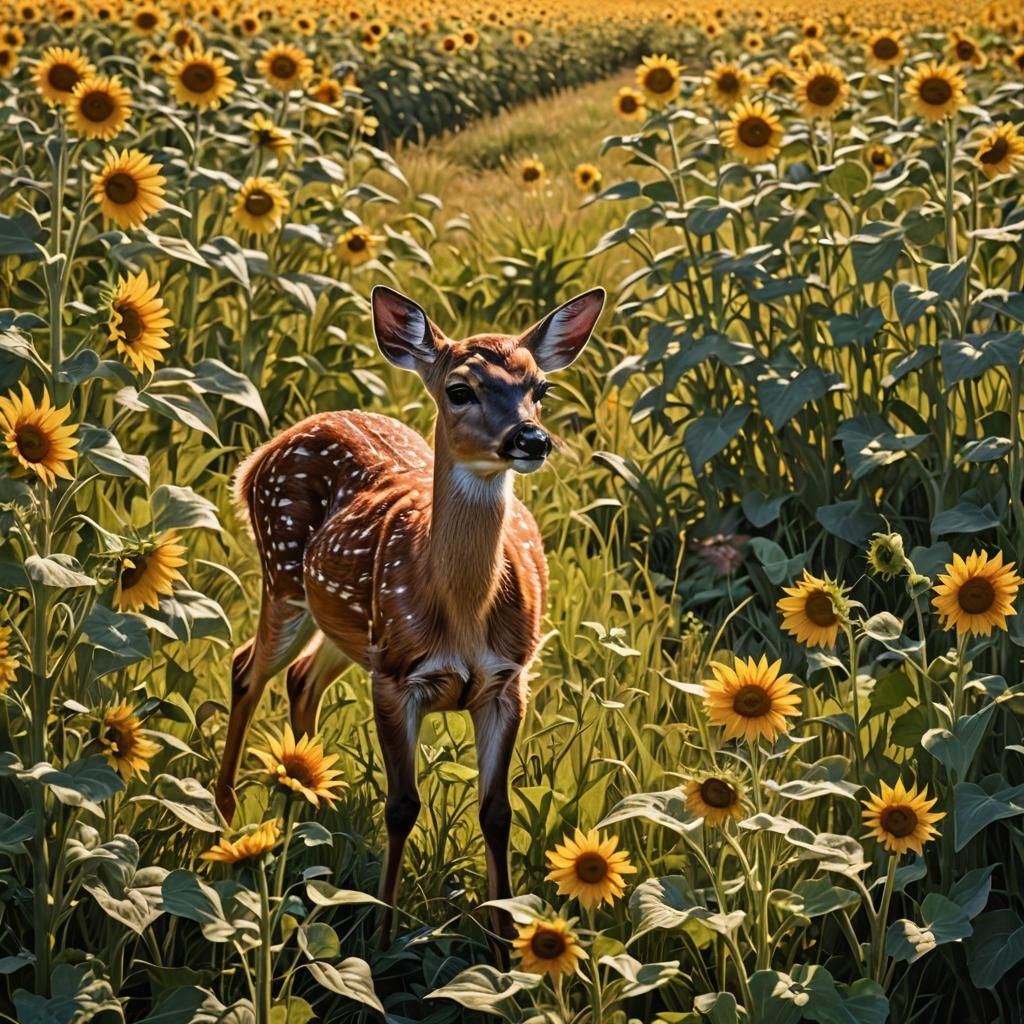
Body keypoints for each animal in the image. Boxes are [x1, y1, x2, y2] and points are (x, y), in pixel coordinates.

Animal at [213, 284, 605, 946]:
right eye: (460, 389)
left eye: (541, 388)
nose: (531, 439)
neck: (463, 616)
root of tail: (259, 455)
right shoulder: (397, 678)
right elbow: (402, 807)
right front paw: (382, 931)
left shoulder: (509, 681)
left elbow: (496, 813)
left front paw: (504, 942)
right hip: (284, 574)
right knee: (247, 668)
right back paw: (224, 817)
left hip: (347, 623)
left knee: (300, 677)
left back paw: (309, 799)